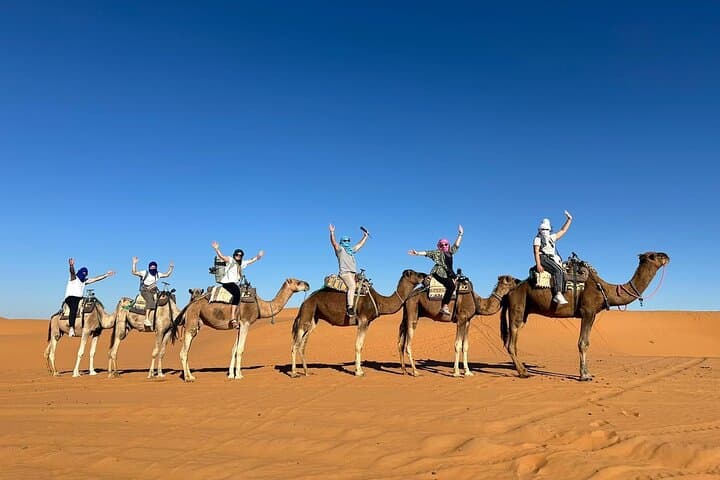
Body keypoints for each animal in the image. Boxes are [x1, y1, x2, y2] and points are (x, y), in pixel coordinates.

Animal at [172, 278, 310, 381]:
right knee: (183, 352)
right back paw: (188, 378)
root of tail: (189, 305)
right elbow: (240, 349)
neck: (261, 305)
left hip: (196, 324)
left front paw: (231, 374)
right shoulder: (245, 323)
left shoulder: (239, 326)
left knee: (187, 351)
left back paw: (191, 375)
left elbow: (234, 349)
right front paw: (239, 375)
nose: (308, 285)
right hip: (192, 320)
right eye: (298, 282)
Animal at [290, 269, 427, 378]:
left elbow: (360, 345)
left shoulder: (366, 322)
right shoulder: (363, 321)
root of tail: (304, 302)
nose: (425, 275)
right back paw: (294, 373)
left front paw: (358, 370)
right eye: (414, 273)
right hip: (306, 314)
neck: (379, 301)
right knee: (295, 345)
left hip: (313, 319)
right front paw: (359, 372)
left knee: (302, 345)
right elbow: (358, 345)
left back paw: (307, 372)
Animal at [501, 251, 670, 381]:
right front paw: (584, 376)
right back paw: (523, 372)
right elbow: (583, 343)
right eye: (653, 256)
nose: (666, 256)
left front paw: (587, 373)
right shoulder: (587, 311)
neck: (605, 289)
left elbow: (586, 342)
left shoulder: (593, 314)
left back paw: (522, 369)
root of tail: (510, 292)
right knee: (511, 342)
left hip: (524, 311)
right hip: (518, 306)